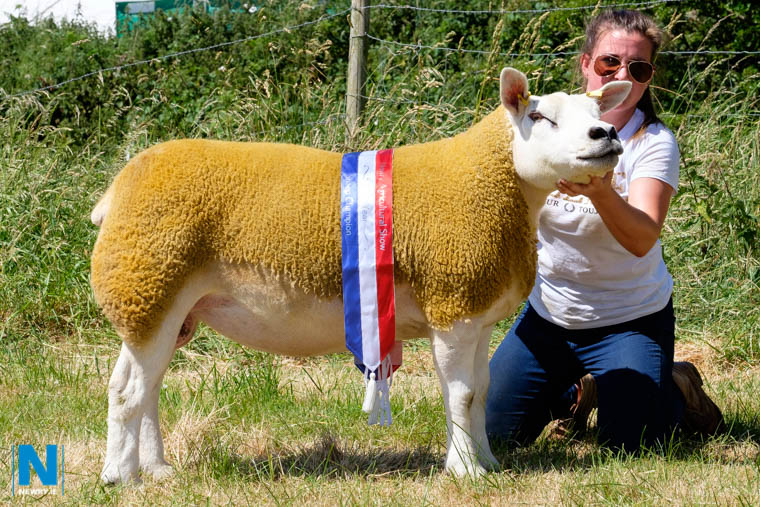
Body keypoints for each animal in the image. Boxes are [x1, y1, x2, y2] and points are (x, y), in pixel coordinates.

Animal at [91, 67, 631, 482]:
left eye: (599, 116)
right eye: (540, 117)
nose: (605, 136)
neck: (494, 184)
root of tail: (116, 191)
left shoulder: (477, 315)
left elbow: (482, 390)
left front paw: (488, 463)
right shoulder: (452, 305)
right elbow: (460, 394)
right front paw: (465, 472)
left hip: (161, 305)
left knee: (146, 387)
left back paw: (157, 468)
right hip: (149, 288)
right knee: (128, 391)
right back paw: (120, 476)